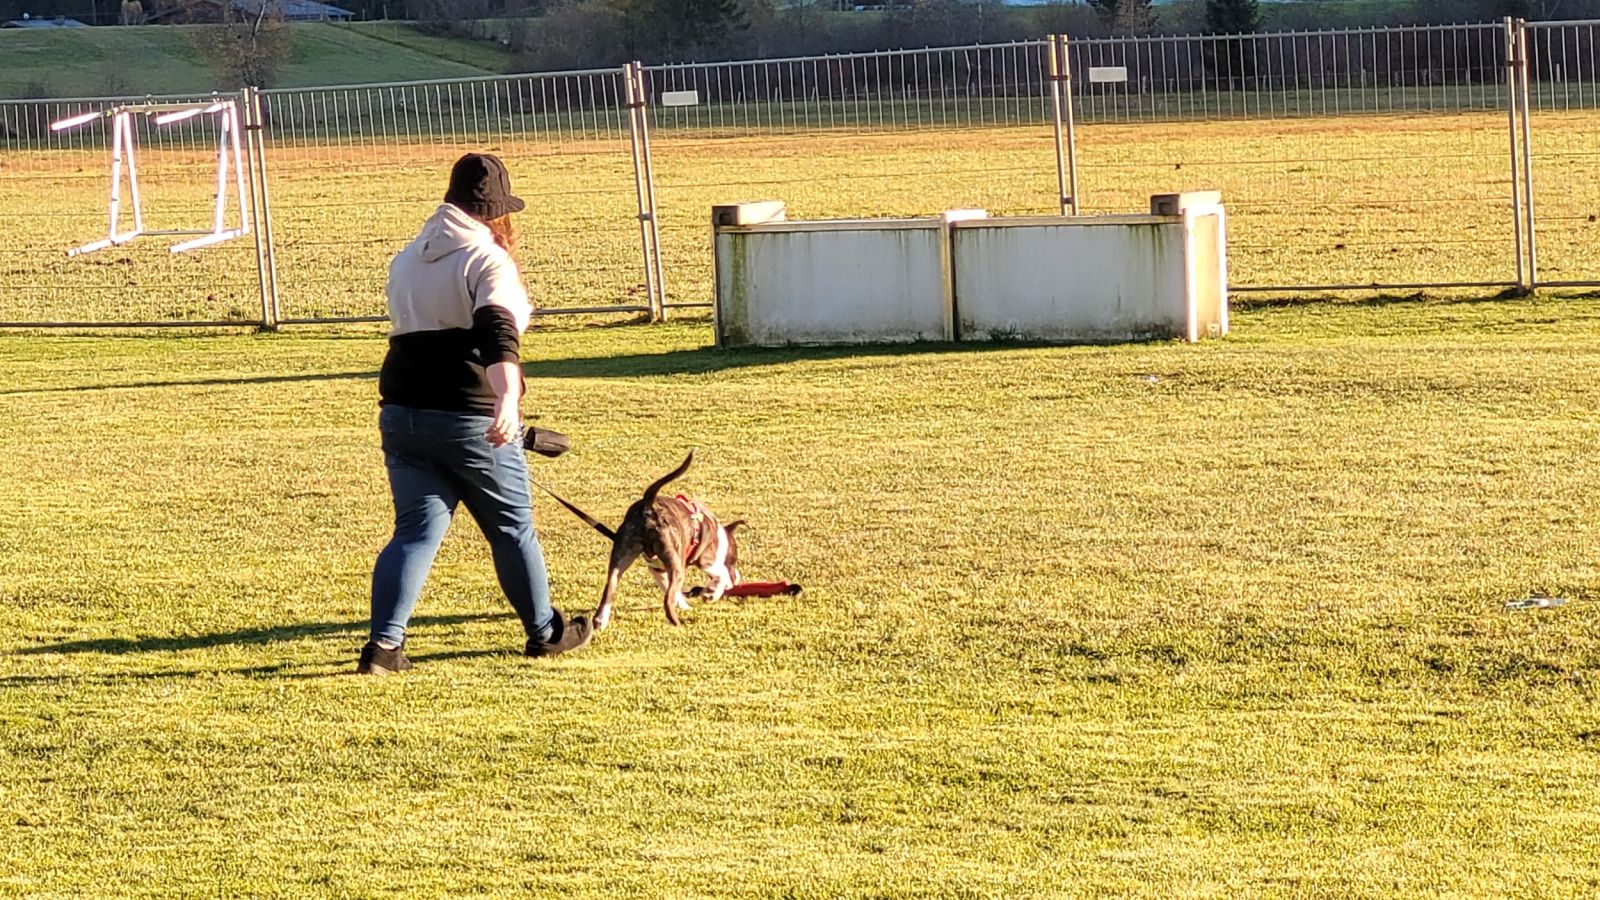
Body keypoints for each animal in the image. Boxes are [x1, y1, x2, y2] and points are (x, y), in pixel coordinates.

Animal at [593, 451, 744, 630]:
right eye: (734, 560)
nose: (738, 579)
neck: (721, 538)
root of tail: (648, 506)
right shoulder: (707, 560)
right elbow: (721, 574)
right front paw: (712, 593)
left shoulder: (657, 570)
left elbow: (673, 591)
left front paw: (687, 605)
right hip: (676, 564)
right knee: (667, 601)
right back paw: (679, 625)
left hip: (621, 556)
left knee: (610, 589)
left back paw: (600, 621)